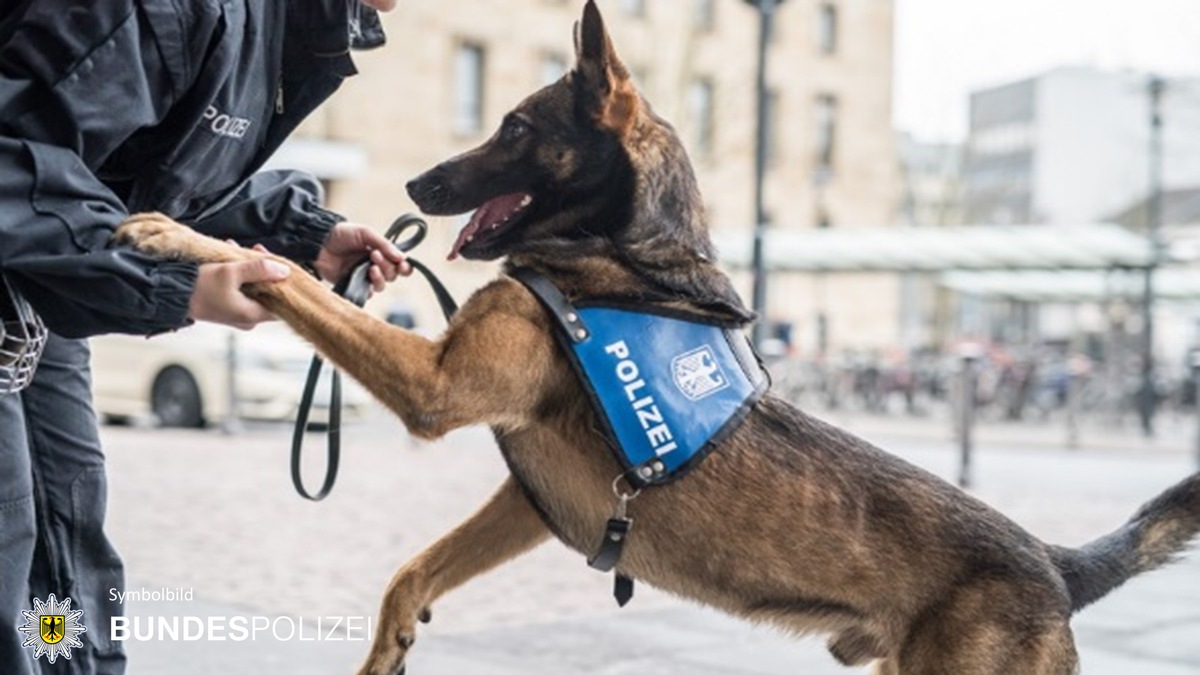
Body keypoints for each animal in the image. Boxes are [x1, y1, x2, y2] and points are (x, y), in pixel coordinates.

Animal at [114, 2, 1200, 667]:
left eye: (514, 126)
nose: (417, 183)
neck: (618, 255)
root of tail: (1056, 564)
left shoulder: (435, 388)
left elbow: (294, 280)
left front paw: (183, 236)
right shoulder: (534, 500)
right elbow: (411, 571)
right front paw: (389, 648)